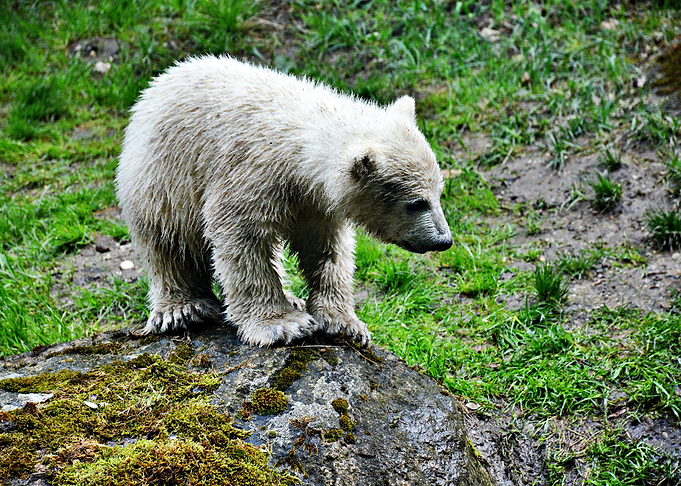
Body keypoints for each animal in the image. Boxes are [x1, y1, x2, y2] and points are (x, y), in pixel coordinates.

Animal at [116, 55, 452, 347]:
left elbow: (327, 250)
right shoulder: (253, 175)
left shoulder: (314, 203)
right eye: (416, 203)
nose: (444, 240)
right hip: (163, 179)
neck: (302, 143)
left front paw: (344, 323)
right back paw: (182, 309)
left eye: (439, 192)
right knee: (168, 242)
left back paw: (291, 297)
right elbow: (242, 241)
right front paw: (281, 325)